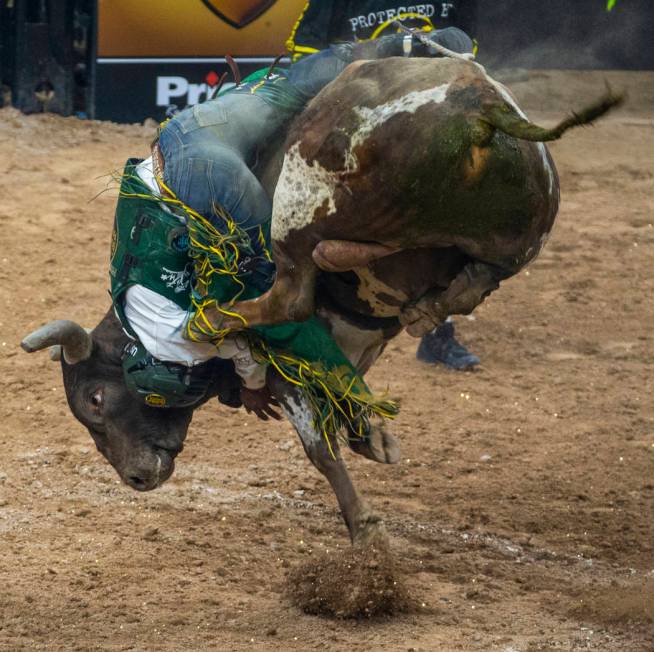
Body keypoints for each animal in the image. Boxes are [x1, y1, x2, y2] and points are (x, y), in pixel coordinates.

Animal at [21, 57, 624, 544]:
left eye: (95, 399)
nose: (137, 478)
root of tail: (479, 109)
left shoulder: (285, 365)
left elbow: (319, 445)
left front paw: (365, 528)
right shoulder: (354, 344)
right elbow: (345, 396)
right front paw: (372, 435)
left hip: (299, 202)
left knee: (290, 293)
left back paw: (220, 315)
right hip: (524, 228)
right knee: (481, 276)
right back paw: (419, 300)